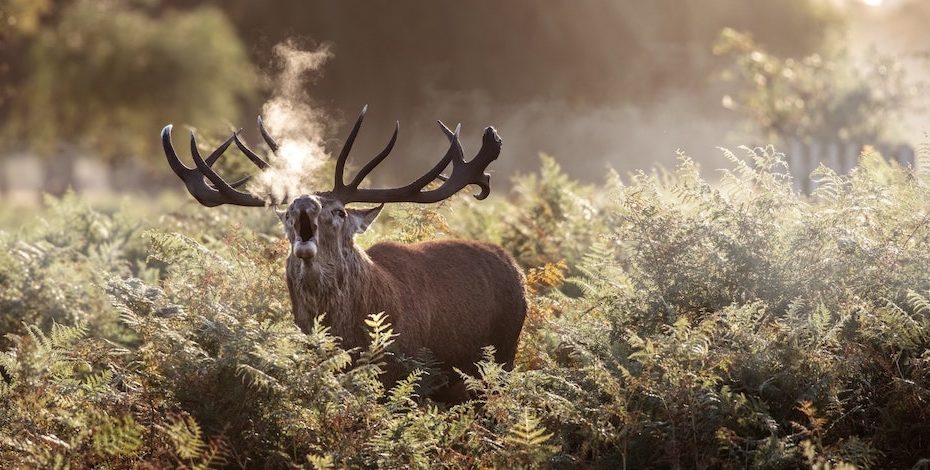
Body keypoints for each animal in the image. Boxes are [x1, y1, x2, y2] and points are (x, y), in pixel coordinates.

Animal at [161, 106, 527, 402]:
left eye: (338, 212)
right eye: (286, 214)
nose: (303, 203)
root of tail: (515, 267)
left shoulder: (407, 375)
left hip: (501, 360)